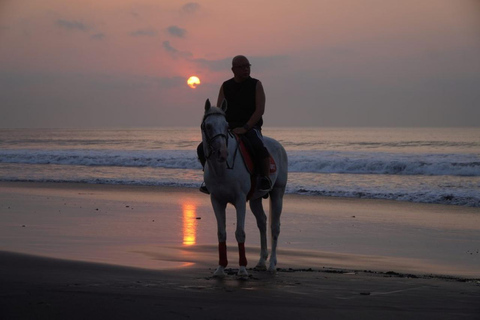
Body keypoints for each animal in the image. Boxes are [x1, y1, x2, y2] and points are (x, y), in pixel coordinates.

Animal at [200, 99, 286, 278]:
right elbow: (221, 233)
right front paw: (220, 268)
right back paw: (261, 262)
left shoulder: (239, 200)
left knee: (274, 227)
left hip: (278, 193)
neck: (222, 168)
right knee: (262, 222)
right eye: (208, 126)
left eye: (226, 125)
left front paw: (242, 269)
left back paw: (272, 265)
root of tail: (279, 146)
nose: (222, 153)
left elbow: (240, 232)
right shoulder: (216, 200)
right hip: (255, 199)